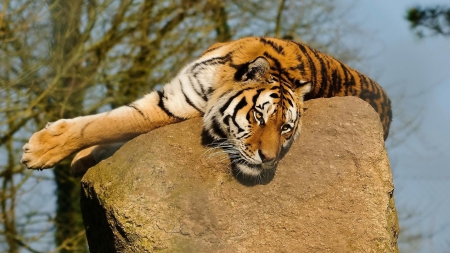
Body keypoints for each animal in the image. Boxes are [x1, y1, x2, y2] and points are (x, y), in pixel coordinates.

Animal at [21, 37, 392, 178]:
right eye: (259, 116)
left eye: (286, 128)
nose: (269, 159)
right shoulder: (174, 94)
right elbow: (109, 124)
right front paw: (78, 157)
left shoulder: (170, 107)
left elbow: (109, 124)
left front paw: (39, 151)